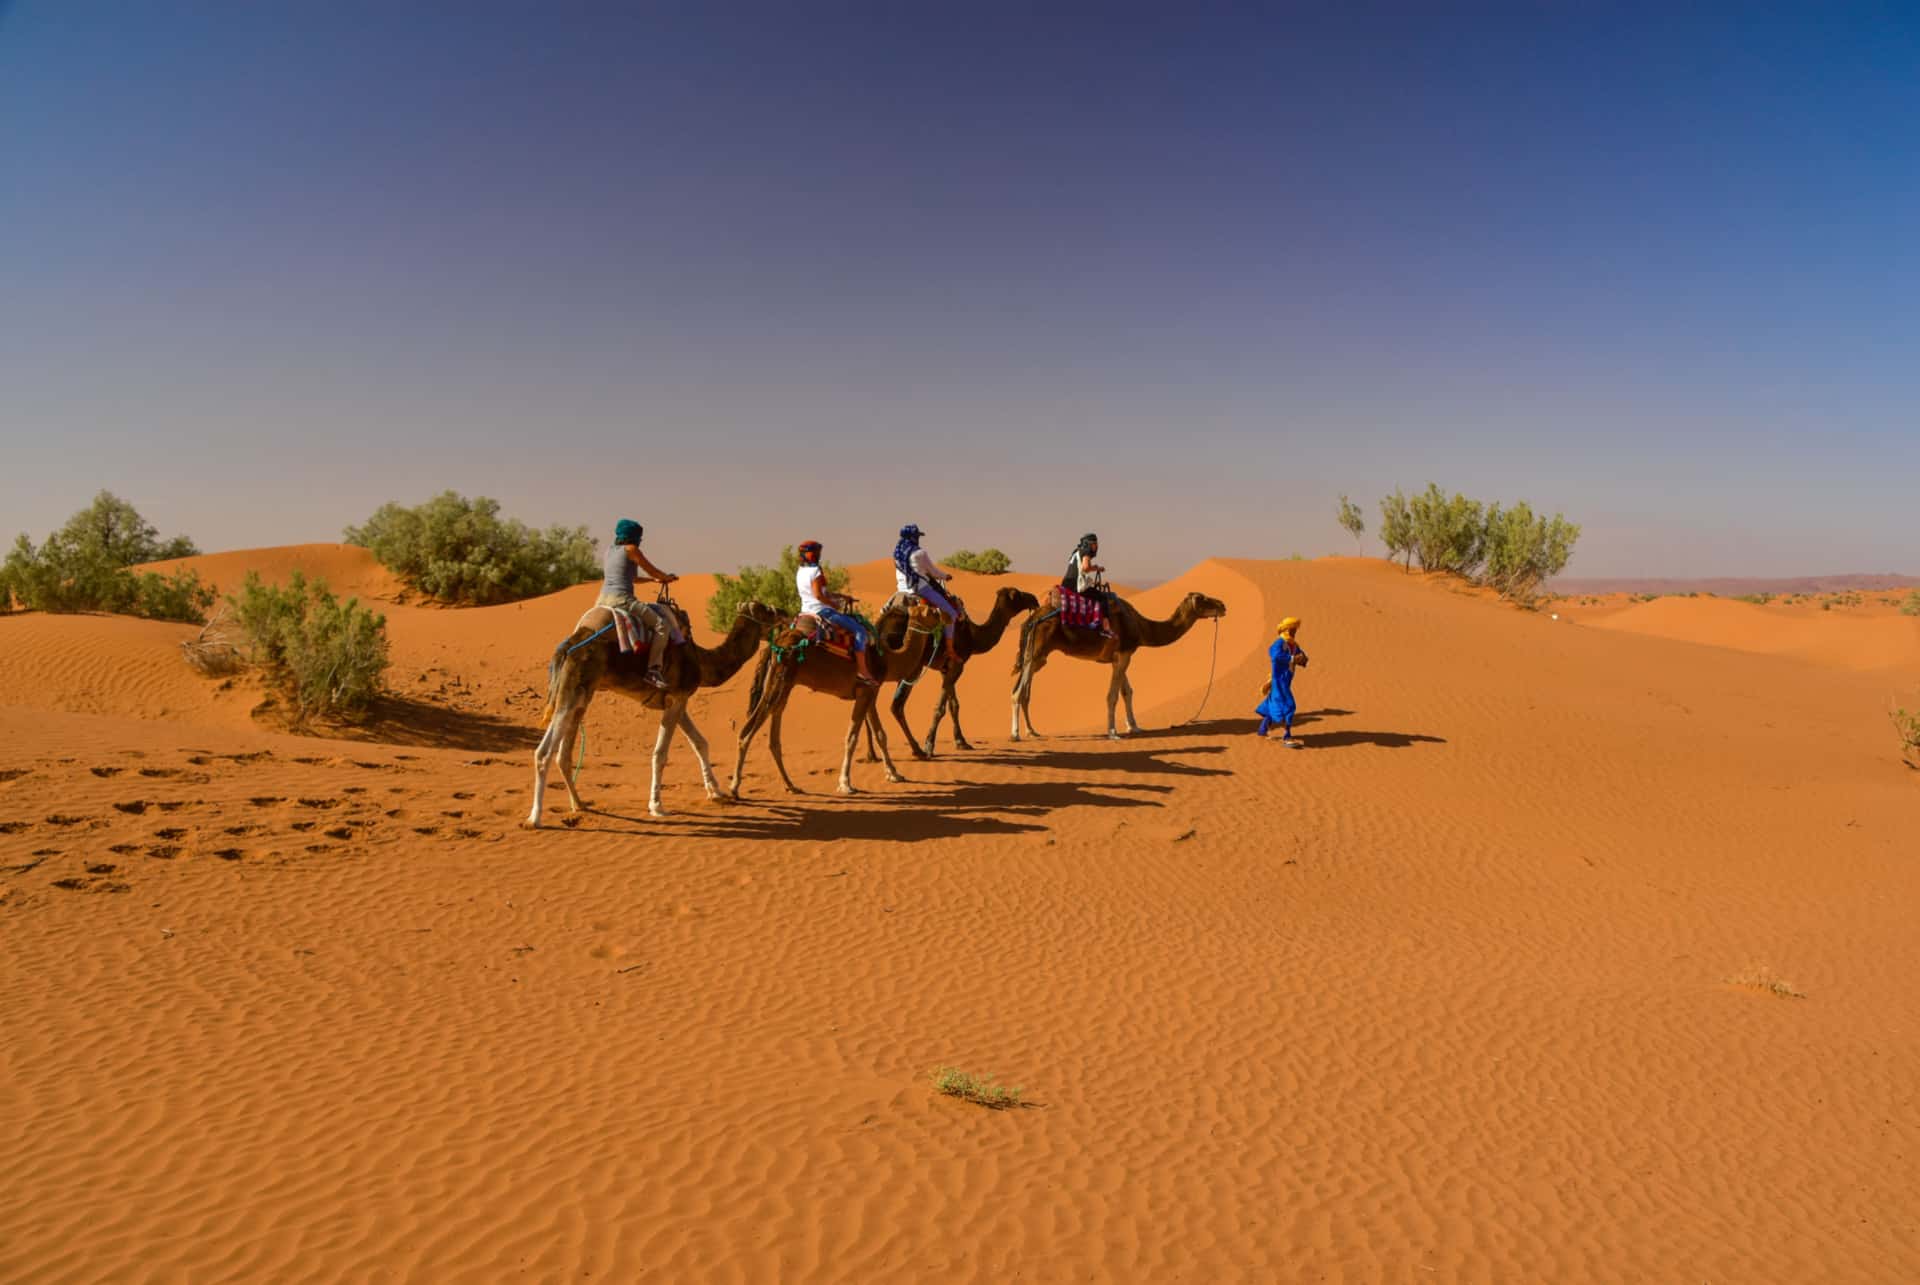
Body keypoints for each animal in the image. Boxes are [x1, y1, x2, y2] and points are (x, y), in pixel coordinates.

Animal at [526, 599, 779, 825]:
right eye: (768, 610)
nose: (784, 613)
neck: (700, 659)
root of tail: (566, 648)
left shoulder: (677, 701)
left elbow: (700, 743)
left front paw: (716, 791)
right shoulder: (677, 698)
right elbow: (660, 754)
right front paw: (657, 806)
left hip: (579, 696)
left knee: (563, 754)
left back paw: (579, 805)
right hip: (573, 692)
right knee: (544, 753)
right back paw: (534, 818)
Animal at [725, 599, 944, 795]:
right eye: (931, 611)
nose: (944, 614)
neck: (889, 659)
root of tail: (774, 645)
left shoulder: (870, 693)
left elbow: (881, 734)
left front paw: (894, 774)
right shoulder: (865, 691)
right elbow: (852, 737)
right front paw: (845, 783)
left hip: (781, 684)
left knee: (772, 730)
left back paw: (791, 786)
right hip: (780, 680)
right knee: (748, 730)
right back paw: (734, 787)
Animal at [1013, 587, 1221, 737]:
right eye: (1203, 598)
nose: (1223, 605)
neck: (1141, 626)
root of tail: (1031, 619)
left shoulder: (1118, 657)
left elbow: (1127, 692)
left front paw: (1134, 727)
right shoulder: (1124, 654)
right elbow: (1112, 695)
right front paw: (1113, 732)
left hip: (1035, 656)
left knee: (1024, 691)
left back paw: (1031, 731)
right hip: (1037, 652)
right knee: (1018, 692)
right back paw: (1016, 734)